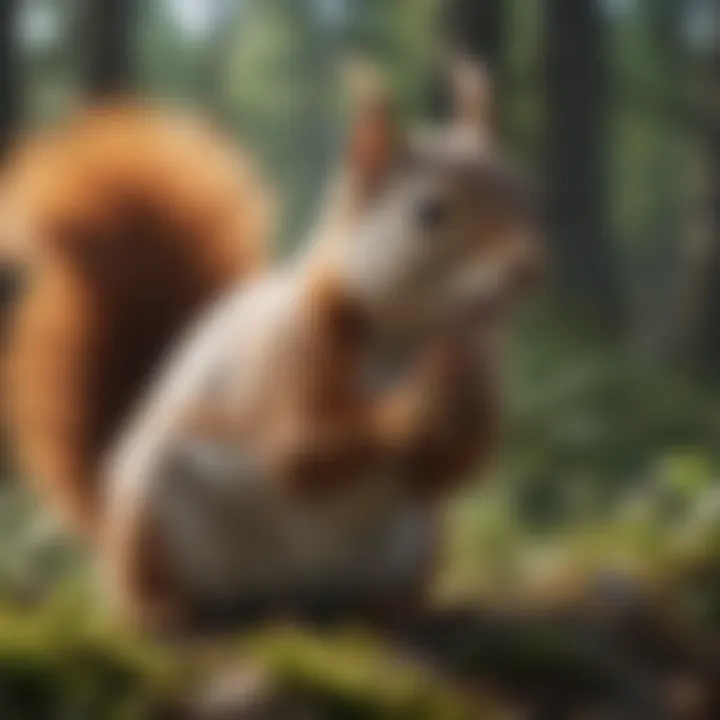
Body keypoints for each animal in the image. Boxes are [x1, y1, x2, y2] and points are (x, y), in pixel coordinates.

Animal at [1, 63, 539, 632]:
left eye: (524, 191)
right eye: (430, 212)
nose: (527, 267)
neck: (406, 338)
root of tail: (287, 597)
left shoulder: (475, 366)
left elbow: (452, 464)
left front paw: (454, 397)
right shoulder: (291, 359)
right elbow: (300, 451)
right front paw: (403, 410)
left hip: (418, 539)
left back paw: (391, 605)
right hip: (154, 510)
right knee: (144, 588)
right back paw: (165, 610)